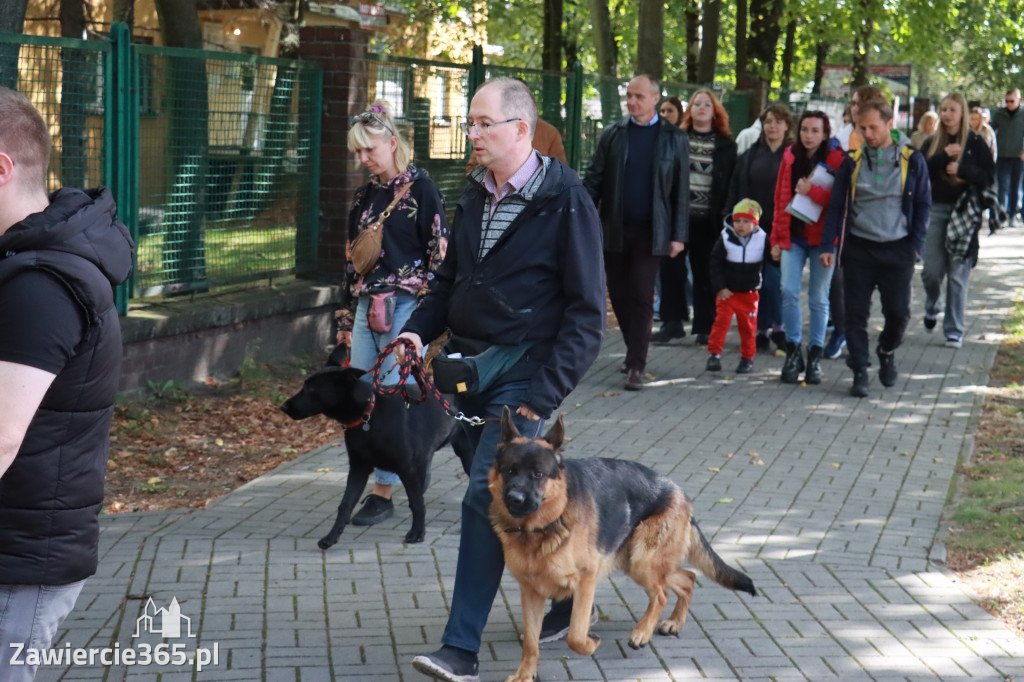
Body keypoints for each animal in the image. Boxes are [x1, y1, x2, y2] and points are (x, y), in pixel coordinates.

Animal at [278, 348, 473, 548]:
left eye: (311, 389)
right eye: (304, 386)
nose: (283, 407)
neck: (367, 416)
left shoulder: (407, 469)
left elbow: (416, 503)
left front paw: (418, 533)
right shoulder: (358, 468)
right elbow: (345, 505)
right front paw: (331, 537)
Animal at [491, 405, 757, 675]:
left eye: (538, 474)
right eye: (509, 470)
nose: (514, 498)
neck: (538, 529)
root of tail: (680, 492)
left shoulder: (585, 580)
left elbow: (575, 635)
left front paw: (590, 643)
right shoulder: (531, 592)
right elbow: (531, 644)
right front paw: (524, 675)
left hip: (642, 562)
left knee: (662, 593)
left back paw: (642, 632)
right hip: (635, 562)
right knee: (688, 578)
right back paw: (674, 622)